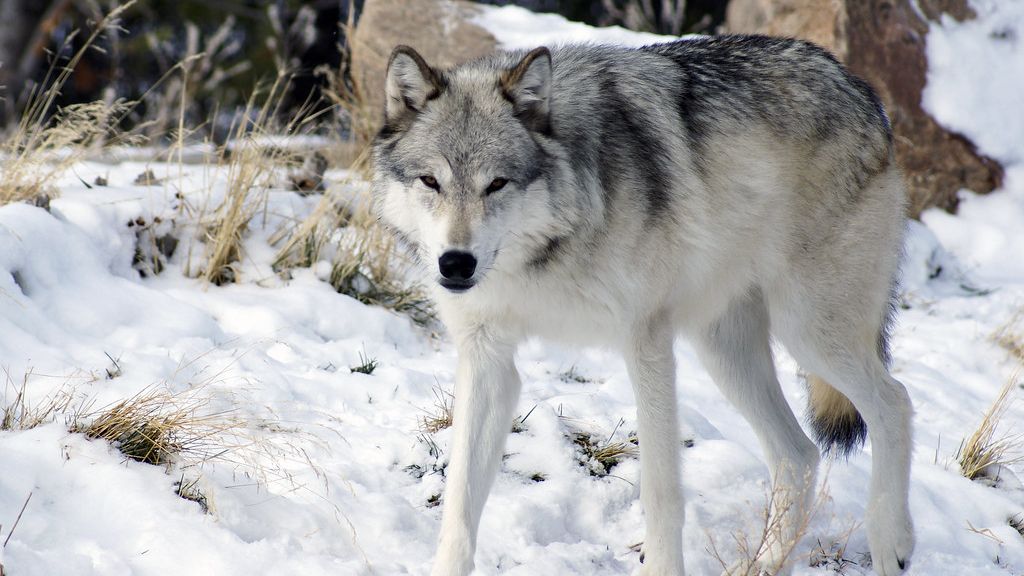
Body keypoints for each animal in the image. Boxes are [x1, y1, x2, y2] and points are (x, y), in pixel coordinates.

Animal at [371, 35, 913, 576]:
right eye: (430, 182)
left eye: (496, 184)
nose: (455, 264)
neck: (543, 256)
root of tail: (861, 90)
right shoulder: (488, 359)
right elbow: (460, 500)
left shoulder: (646, 343)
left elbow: (660, 491)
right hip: (725, 351)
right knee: (799, 453)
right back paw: (761, 565)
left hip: (806, 329)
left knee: (895, 401)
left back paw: (892, 542)